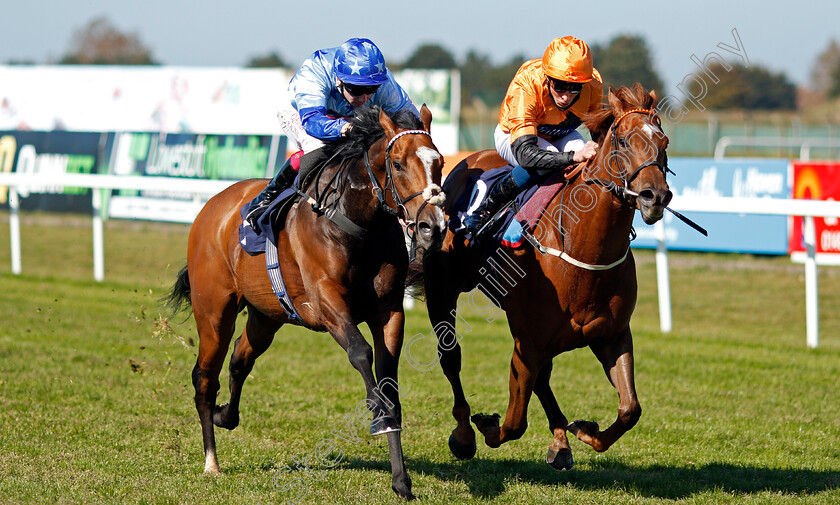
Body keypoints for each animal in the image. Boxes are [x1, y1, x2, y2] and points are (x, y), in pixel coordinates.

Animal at [167, 104, 450, 498]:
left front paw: (401, 480)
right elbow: (361, 353)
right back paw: (211, 461)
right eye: (397, 164)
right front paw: (378, 416)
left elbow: (388, 378)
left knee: (240, 360)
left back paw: (227, 415)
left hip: (266, 315)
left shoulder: (389, 311)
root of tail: (211, 207)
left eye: (439, 161)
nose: (432, 227)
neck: (359, 224)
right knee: (204, 377)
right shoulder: (328, 303)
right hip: (213, 312)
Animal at [424, 85, 672, 468]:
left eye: (665, 142)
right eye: (623, 141)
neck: (584, 251)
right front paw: (486, 426)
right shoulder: (527, 343)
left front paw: (584, 432)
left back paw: (560, 440)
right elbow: (514, 423)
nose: (655, 196)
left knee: (544, 380)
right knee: (450, 356)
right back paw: (464, 435)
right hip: (442, 288)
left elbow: (630, 408)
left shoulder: (612, 336)